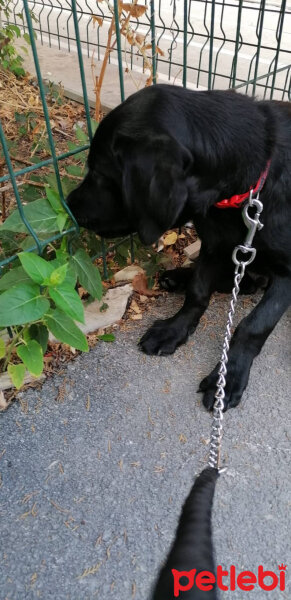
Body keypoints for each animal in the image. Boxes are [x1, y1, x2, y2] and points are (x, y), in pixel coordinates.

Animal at [68, 84, 291, 410]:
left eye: (98, 172)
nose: (69, 204)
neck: (248, 191)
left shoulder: (287, 275)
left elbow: (253, 326)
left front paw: (229, 377)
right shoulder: (214, 244)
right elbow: (197, 292)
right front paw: (174, 329)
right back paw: (177, 277)